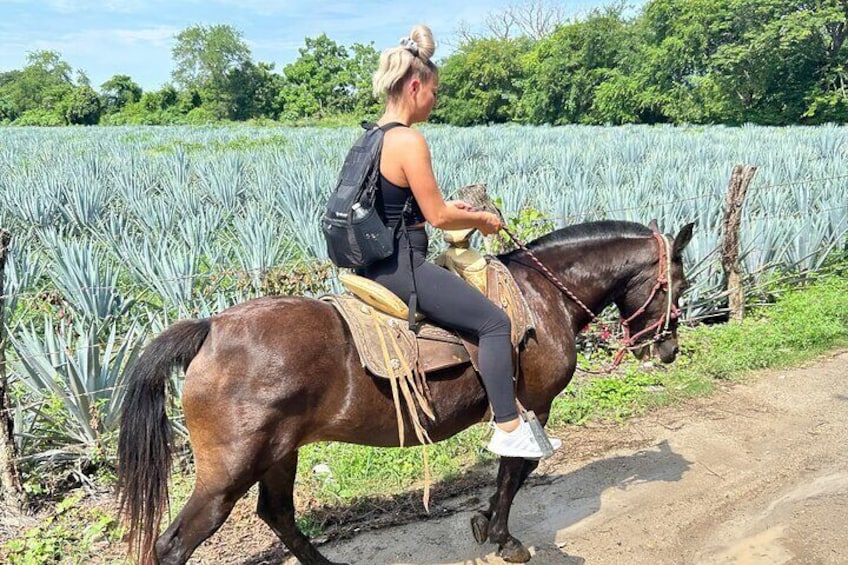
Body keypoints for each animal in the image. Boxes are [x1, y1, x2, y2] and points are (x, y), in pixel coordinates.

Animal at [116, 220, 692, 564]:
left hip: (279, 453)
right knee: (174, 544)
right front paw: (502, 536)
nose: (668, 349)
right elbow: (515, 474)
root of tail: (210, 327)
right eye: (678, 287)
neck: (541, 295)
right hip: (229, 472)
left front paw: (485, 521)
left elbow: (508, 474)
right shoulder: (533, 407)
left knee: (277, 514)